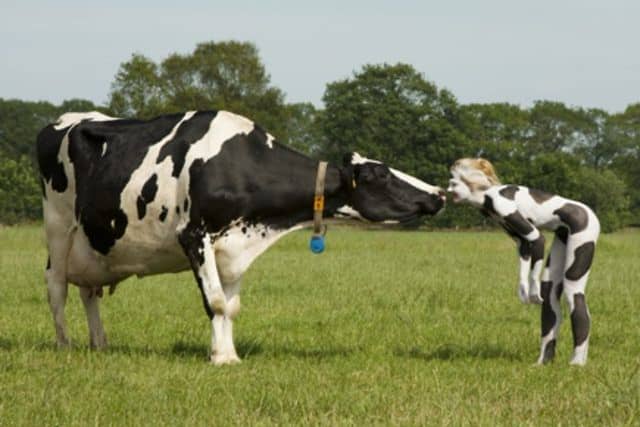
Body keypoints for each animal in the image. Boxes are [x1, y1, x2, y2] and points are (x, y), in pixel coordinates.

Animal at [37, 110, 446, 365]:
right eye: (381, 175)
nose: (438, 193)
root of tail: (67, 119)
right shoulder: (193, 235)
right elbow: (216, 302)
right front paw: (220, 358)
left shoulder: (234, 246)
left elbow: (231, 307)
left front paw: (229, 353)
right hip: (58, 226)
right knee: (56, 288)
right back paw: (64, 346)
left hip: (94, 246)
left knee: (88, 292)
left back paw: (100, 344)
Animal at [447, 158, 600, 365]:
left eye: (453, 183)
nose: (447, 191)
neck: (484, 194)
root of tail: (589, 211)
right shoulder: (516, 236)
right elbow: (524, 248)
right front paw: (523, 289)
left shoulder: (503, 206)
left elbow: (537, 239)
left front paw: (533, 290)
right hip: (562, 239)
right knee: (549, 291)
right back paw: (543, 362)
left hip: (583, 231)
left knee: (574, 293)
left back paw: (577, 362)